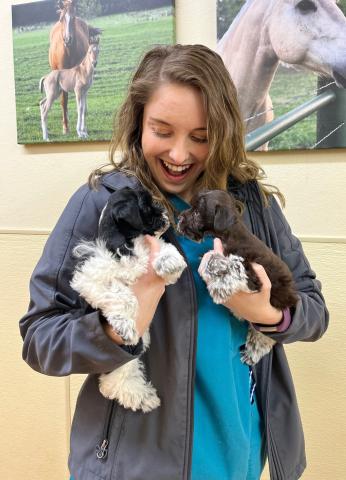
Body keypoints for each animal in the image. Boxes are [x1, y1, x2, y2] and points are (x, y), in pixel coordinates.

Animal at [48, 0, 98, 135]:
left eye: (73, 17)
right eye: (61, 19)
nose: (67, 39)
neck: (68, 51)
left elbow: (80, 103)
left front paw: (81, 127)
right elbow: (64, 100)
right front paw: (66, 127)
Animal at [70, 186, 187, 410]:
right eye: (147, 205)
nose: (164, 214)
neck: (128, 245)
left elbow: (164, 249)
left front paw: (171, 261)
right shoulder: (90, 278)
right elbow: (121, 295)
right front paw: (124, 324)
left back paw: (145, 397)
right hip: (129, 352)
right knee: (115, 382)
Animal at [177, 189, 298, 366]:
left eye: (197, 213)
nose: (179, 218)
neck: (230, 232)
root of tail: (292, 296)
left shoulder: (251, 273)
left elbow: (232, 265)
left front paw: (219, 288)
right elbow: (213, 256)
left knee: (265, 336)